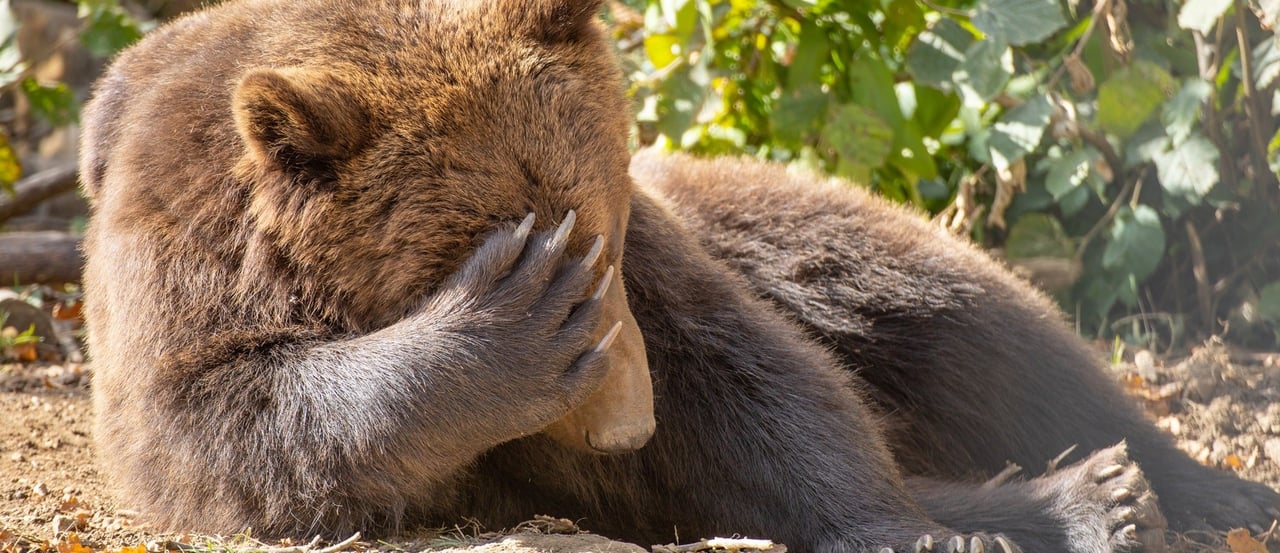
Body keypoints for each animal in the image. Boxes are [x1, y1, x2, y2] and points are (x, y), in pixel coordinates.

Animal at [79, 0, 1167, 552]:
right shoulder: (188, 257)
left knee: (973, 330)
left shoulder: (654, 250)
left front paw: (912, 531)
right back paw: (1082, 500)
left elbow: (749, 378)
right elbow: (220, 415)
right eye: (554, 266)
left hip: (800, 235)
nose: (628, 425)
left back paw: (1132, 487)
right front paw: (496, 333)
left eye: (601, 237)